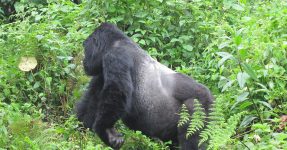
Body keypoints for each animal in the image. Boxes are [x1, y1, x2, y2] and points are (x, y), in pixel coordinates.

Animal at [76, 22, 214, 149]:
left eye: (86, 48)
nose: (84, 62)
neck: (118, 42)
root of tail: (211, 97)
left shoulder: (116, 57)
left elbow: (116, 94)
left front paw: (106, 131)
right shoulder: (102, 71)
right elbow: (92, 99)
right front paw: (80, 131)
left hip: (202, 103)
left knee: (193, 112)